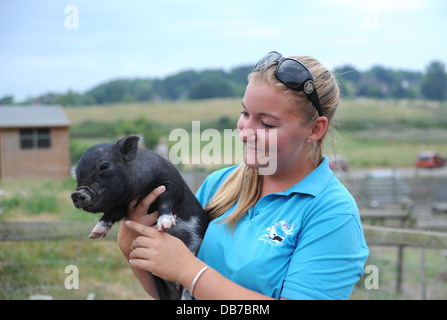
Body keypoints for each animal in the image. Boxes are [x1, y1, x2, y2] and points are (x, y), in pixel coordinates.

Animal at [71, 135, 209, 300]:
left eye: (104, 166)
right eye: (77, 174)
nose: (77, 194)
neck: (141, 190)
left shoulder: (171, 183)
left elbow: (166, 198)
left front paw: (164, 225)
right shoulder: (121, 204)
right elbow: (111, 213)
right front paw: (95, 234)